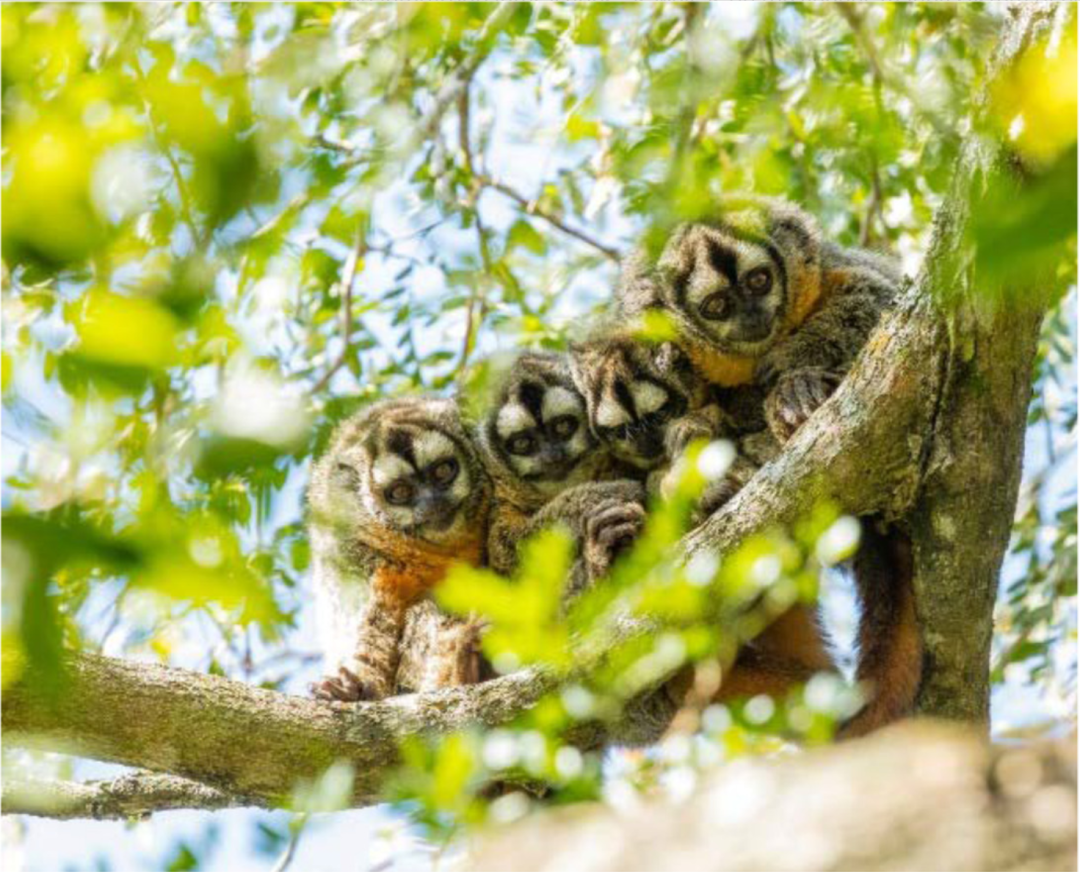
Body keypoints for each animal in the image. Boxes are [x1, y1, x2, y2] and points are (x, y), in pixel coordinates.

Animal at [311, 395, 492, 704]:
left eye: (443, 471)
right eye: (400, 492)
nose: (433, 503)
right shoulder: (351, 544)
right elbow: (377, 615)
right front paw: (355, 688)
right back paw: (464, 667)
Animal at [622, 195, 915, 734]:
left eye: (759, 281)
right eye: (718, 306)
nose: (754, 316)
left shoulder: (822, 269)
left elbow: (876, 294)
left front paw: (791, 368)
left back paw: (797, 400)